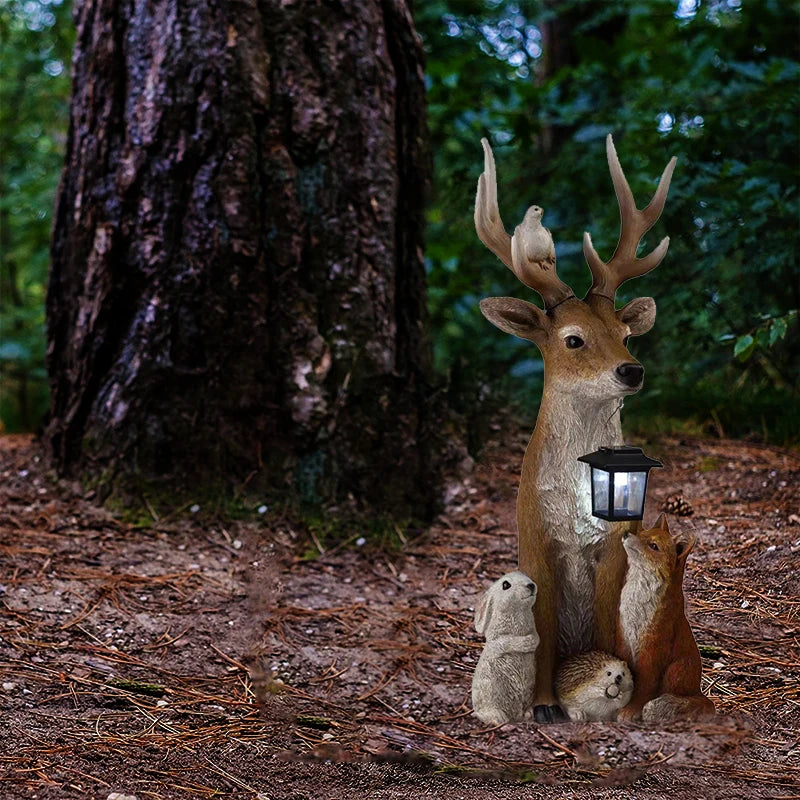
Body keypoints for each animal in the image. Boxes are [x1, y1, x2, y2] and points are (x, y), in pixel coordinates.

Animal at [475, 134, 676, 722]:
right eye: (572, 339)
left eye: (625, 333)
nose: (632, 370)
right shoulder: (531, 533)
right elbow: (539, 626)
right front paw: (543, 705)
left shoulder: (616, 541)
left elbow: (612, 618)